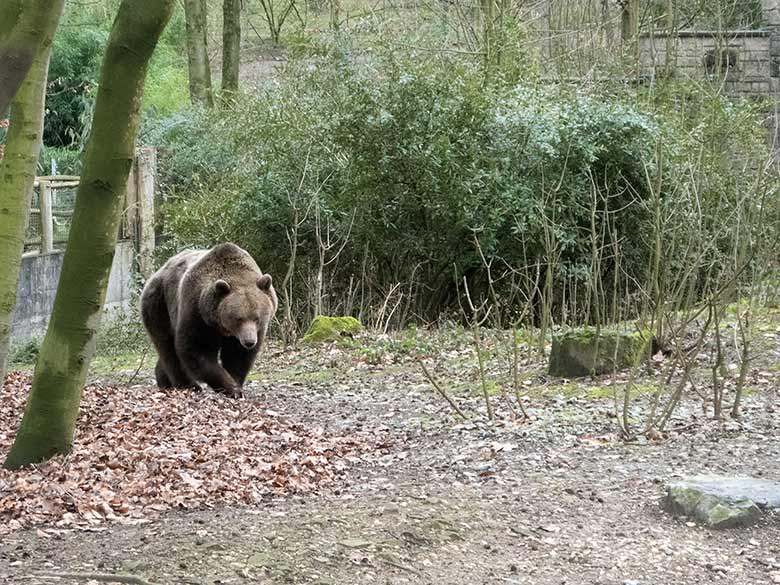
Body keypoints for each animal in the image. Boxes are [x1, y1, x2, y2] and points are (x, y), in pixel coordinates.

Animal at [142, 242, 278, 396]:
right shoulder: (197, 312)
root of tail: (157, 273)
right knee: (167, 346)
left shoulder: (246, 333)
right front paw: (231, 387)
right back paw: (188, 385)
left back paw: (163, 380)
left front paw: (236, 382)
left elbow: (238, 355)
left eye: (257, 318)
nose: (249, 341)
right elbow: (197, 348)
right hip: (159, 304)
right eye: (238, 318)